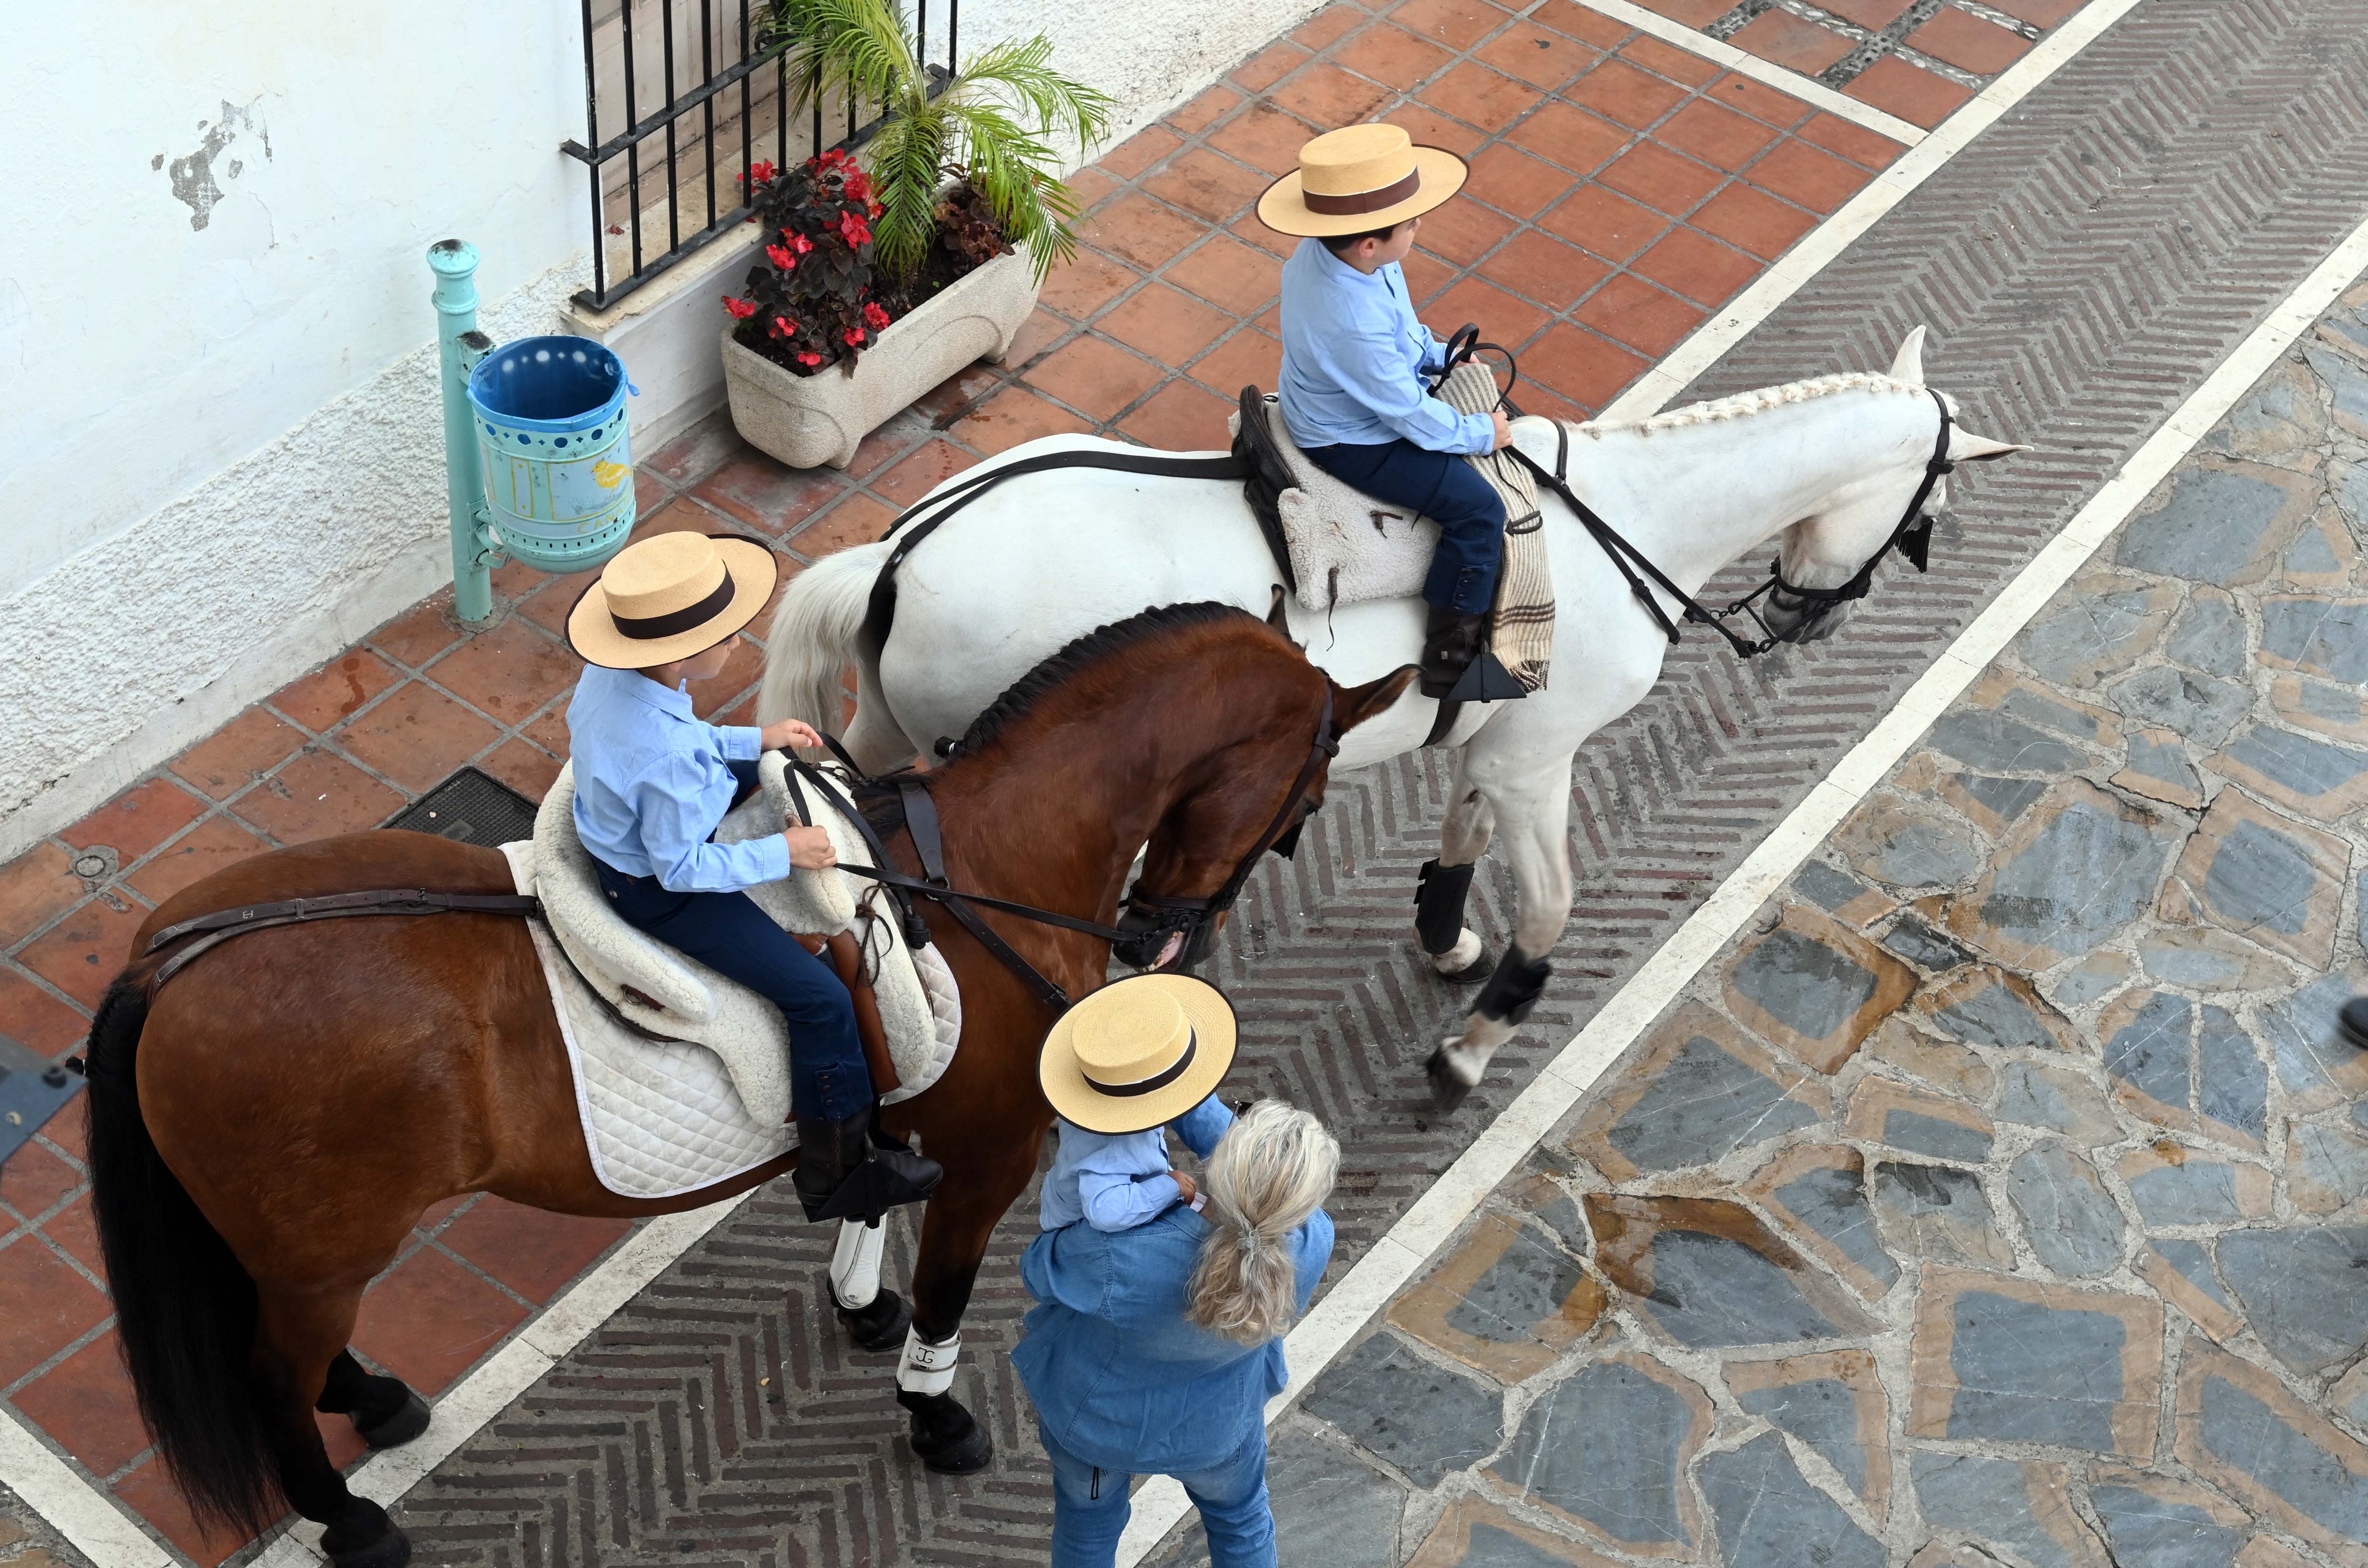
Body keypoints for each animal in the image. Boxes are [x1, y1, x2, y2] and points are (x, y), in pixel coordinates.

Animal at [83, 604, 1411, 1568]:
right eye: (1307, 790)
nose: (1166, 936)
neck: (978, 869)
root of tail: (172, 960)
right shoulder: (989, 1153)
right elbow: (946, 1288)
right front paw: (935, 1412)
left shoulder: (897, 1099)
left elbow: (870, 1187)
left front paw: (859, 1298)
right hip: (325, 1249)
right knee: (271, 1374)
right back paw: (353, 1518)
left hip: (303, 1249)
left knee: (292, 1351)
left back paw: (379, 1398)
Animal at [757, 331, 2017, 1113]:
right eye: (1931, 506)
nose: (1808, 617)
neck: (1630, 524)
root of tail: (900, 549)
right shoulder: (1540, 761)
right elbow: (1550, 909)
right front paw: (1470, 1048)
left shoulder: (1499, 747)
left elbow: (1462, 831)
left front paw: (1447, 931)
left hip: (891, 734)